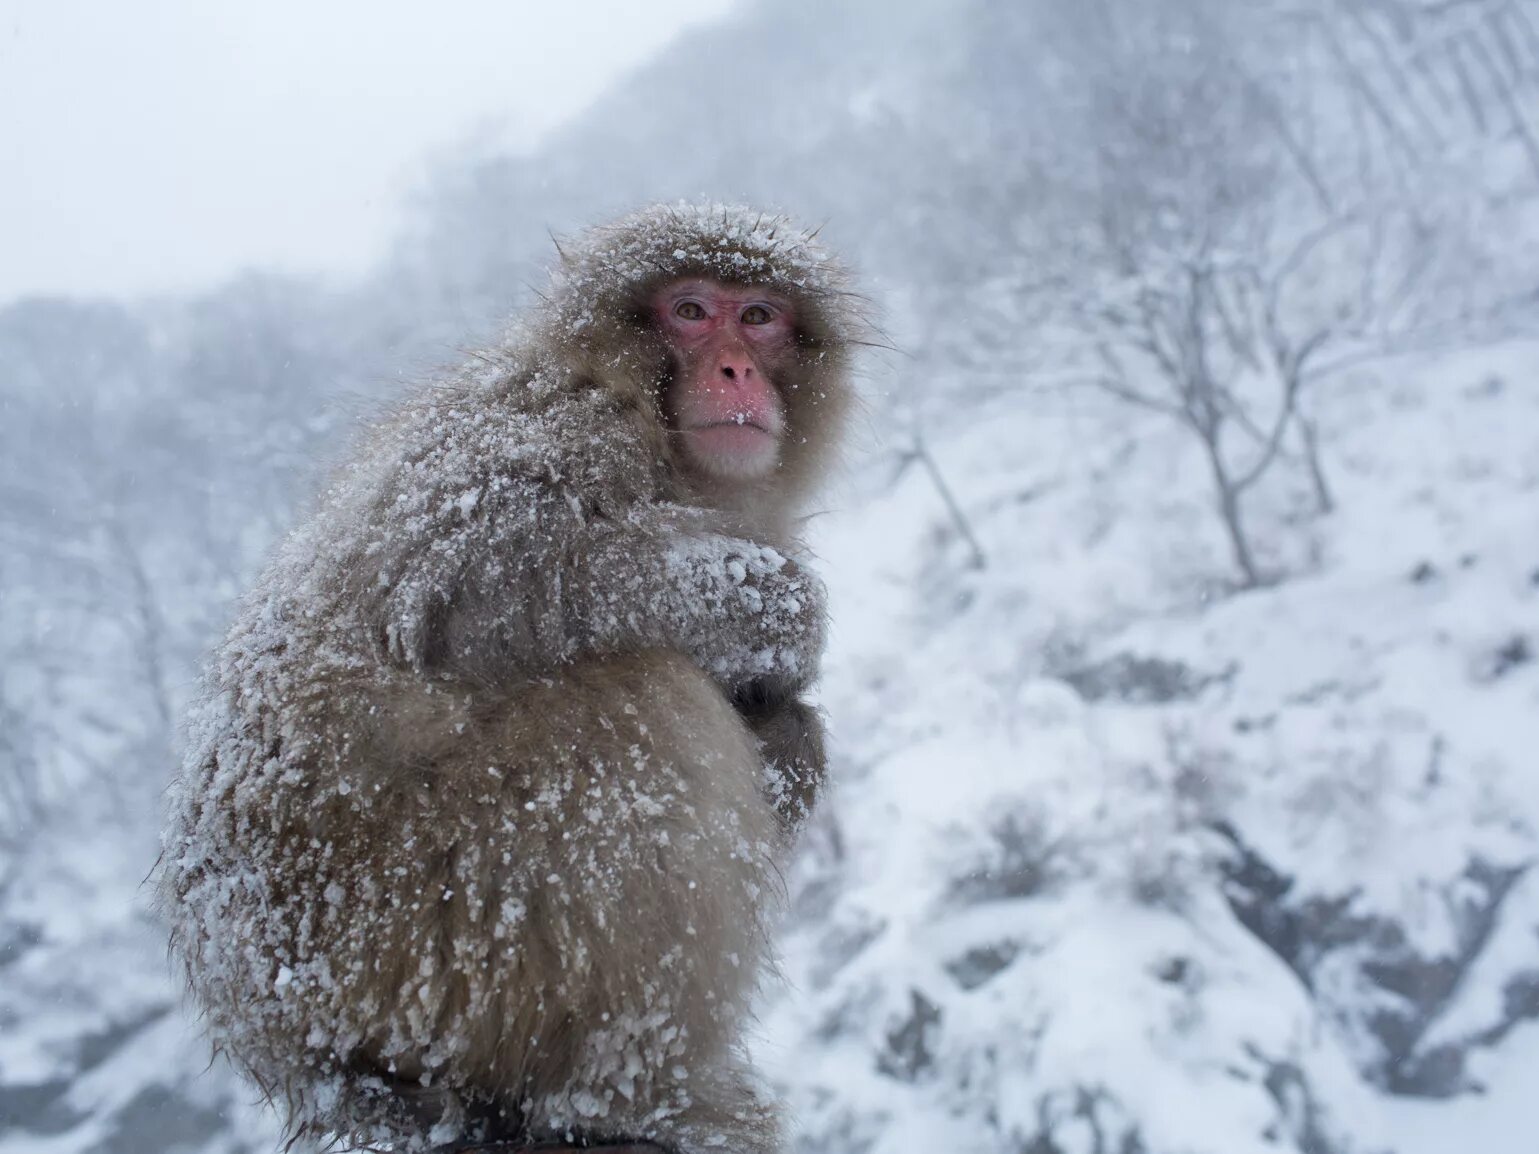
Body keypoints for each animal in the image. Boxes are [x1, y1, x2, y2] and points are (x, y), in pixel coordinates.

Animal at [160, 203, 861, 1150]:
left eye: (758, 317)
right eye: (689, 310)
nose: (733, 368)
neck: (644, 420)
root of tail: (290, 1049)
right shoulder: (545, 424)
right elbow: (478, 585)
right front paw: (774, 608)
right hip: (421, 934)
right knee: (637, 699)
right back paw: (628, 1095)